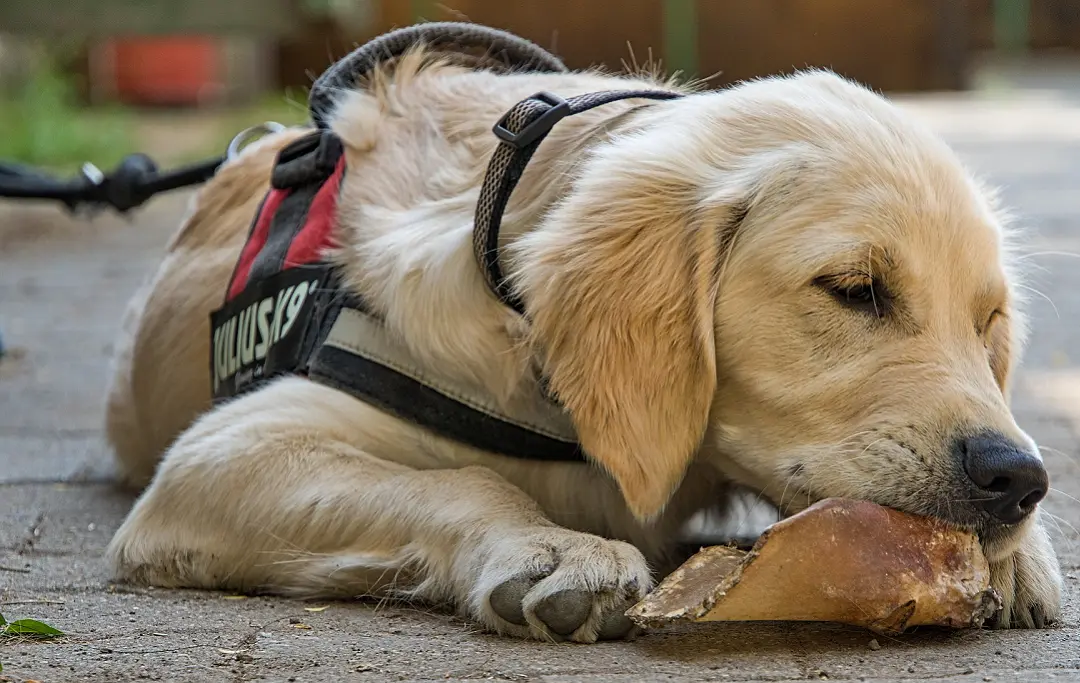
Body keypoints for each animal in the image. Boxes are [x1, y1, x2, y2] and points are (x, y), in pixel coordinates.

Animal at [103, 53, 1062, 639]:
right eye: (856, 289)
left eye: (988, 325)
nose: (1018, 479)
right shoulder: (220, 452)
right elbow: (465, 477)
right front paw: (552, 549)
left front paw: (1022, 556)